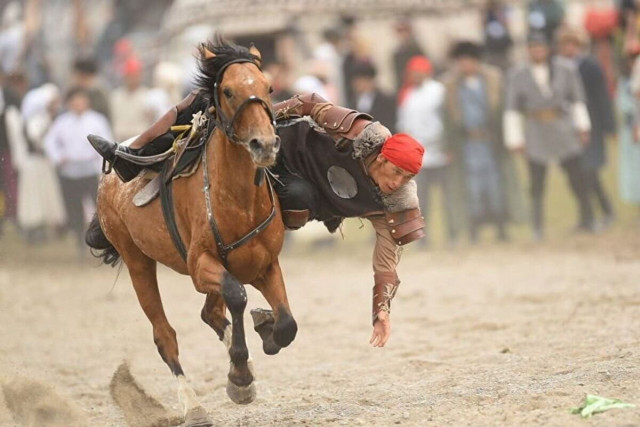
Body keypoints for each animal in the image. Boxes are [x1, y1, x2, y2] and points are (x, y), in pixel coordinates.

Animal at [85, 37, 298, 427]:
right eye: (228, 91)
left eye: (269, 87)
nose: (264, 145)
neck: (238, 199)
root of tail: (107, 183)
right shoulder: (201, 266)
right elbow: (237, 296)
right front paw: (239, 376)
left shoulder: (264, 264)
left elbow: (286, 323)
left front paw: (265, 336)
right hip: (137, 262)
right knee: (165, 335)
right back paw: (194, 405)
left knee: (210, 314)